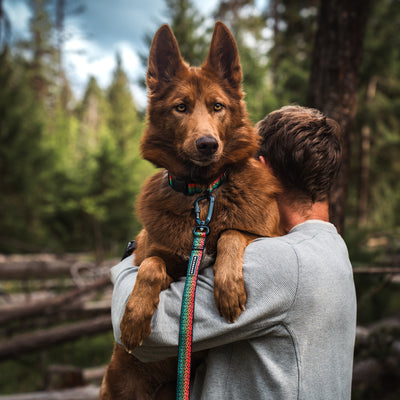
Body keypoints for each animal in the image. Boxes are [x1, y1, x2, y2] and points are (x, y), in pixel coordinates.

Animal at [100, 22, 282, 400]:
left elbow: (232, 232)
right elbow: (151, 266)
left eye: (217, 106)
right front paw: (134, 317)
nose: (207, 144)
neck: (202, 194)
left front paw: (229, 288)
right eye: (180, 107)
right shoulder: (151, 253)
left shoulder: (269, 234)